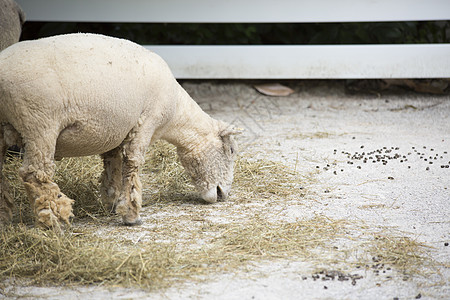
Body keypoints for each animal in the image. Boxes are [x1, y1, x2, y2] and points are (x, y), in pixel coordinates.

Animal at [0, 33, 241, 230]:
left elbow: (112, 164)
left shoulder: (117, 132)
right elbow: (133, 164)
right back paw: (52, 222)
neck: (175, 114)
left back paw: (5, 218)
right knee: (35, 174)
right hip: (39, 124)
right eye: (231, 151)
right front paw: (131, 214)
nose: (223, 195)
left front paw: (112, 200)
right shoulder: (147, 122)